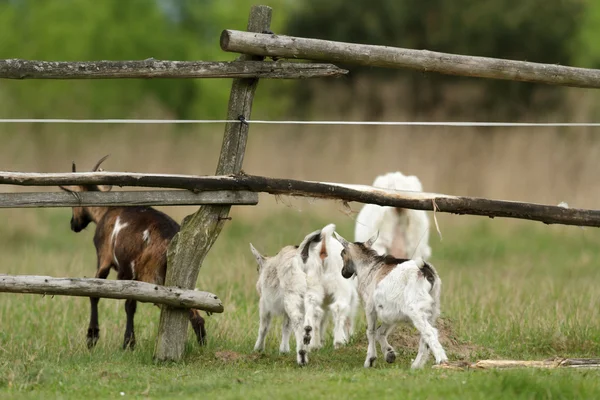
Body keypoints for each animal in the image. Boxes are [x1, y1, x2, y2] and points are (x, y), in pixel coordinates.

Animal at [60, 156, 206, 350]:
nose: (73, 224)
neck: (106, 212)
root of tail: (172, 239)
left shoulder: (105, 258)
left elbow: (99, 295)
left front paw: (96, 338)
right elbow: (130, 303)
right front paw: (127, 342)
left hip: (151, 276)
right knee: (194, 310)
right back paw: (202, 345)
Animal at [250, 236, 316, 368]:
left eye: (257, 268)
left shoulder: (264, 303)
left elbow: (264, 327)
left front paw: (258, 349)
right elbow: (286, 326)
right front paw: (284, 350)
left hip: (292, 294)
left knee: (297, 320)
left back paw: (302, 356)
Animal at [336, 231, 448, 368]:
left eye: (342, 253)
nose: (344, 273)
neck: (370, 267)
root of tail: (426, 271)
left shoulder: (370, 307)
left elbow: (371, 331)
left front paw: (370, 360)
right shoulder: (391, 313)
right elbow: (381, 332)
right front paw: (389, 354)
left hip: (415, 308)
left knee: (429, 332)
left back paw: (441, 361)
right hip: (433, 309)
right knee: (424, 337)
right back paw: (416, 366)